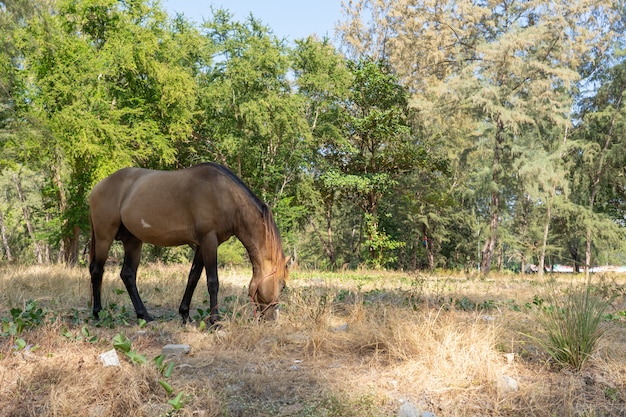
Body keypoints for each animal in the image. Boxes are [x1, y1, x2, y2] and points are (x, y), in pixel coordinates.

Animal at [88, 162, 288, 322]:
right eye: (283, 285)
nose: (273, 319)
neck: (224, 195)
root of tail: (98, 187)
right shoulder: (209, 241)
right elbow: (213, 282)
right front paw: (215, 321)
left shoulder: (202, 245)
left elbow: (193, 278)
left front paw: (185, 314)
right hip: (104, 237)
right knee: (97, 271)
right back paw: (98, 313)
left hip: (133, 241)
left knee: (128, 275)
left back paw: (144, 315)